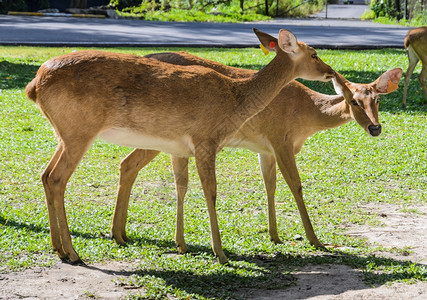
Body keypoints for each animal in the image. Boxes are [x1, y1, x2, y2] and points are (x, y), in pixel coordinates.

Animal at [109, 51, 402, 253]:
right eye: (354, 101)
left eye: (378, 99)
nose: (375, 128)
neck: (307, 114)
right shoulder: (281, 139)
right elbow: (296, 185)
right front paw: (315, 240)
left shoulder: (265, 149)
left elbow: (269, 185)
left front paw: (274, 235)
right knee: (129, 163)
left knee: (127, 164)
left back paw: (122, 233)